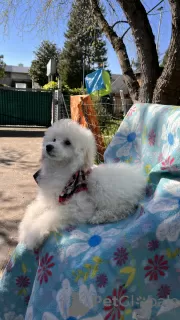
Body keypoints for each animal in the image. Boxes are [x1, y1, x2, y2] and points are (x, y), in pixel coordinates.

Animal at [18, 119, 146, 249]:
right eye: (53, 139)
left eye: (67, 142)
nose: (48, 146)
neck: (61, 170)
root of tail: (139, 178)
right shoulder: (48, 199)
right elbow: (32, 209)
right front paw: (24, 228)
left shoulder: (78, 207)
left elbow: (49, 216)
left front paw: (32, 235)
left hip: (106, 188)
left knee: (123, 208)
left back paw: (100, 216)